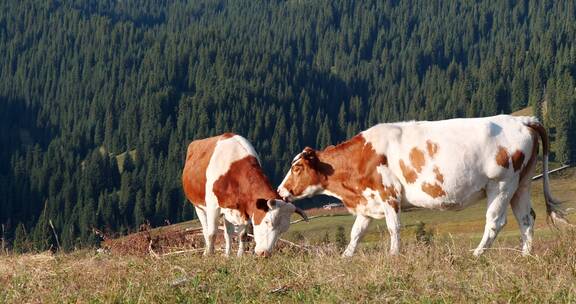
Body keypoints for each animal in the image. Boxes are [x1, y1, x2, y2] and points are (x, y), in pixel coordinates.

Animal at [276, 116, 564, 256]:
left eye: (297, 168)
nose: (280, 191)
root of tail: (522, 120)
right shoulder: (368, 201)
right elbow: (356, 233)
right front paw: (346, 256)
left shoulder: (389, 195)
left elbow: (394, 228)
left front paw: (393, 255)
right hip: (521, 185)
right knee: (526, 219)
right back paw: (526, 256)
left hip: (501, 184)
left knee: (495, 222)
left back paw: (477, 254)